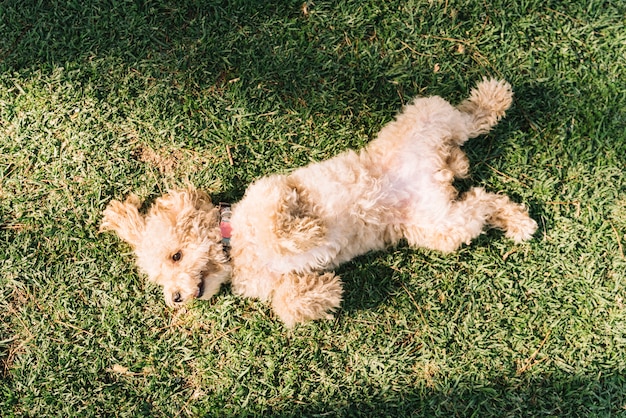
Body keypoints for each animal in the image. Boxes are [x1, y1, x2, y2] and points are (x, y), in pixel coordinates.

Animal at [101, 78, 536, 326]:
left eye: (175, 255)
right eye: (161, 278)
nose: (175, 298)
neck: (235, 247)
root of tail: (440, 168)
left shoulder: (273, 190)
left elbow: (278, 229)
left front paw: (306, 233)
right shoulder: (275, 281)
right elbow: (286, 304)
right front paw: (323, 292)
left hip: (430, 118)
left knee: (471, 120)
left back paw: (493, 97)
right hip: (440, 225)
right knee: (483, 201)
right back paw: (516, 220)